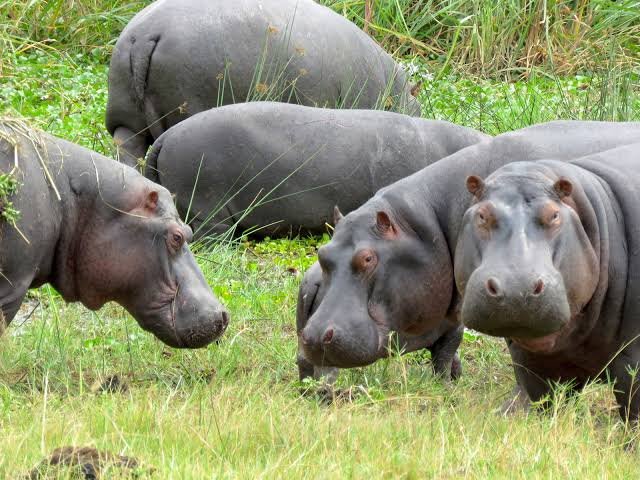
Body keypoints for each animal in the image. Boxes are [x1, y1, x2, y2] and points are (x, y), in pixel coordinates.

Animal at [454, 143, 640, 421]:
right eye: (482, 215)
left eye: (553, 215)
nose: (516, 289)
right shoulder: (530, 361)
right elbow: (545, 403)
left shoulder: (632, 358)